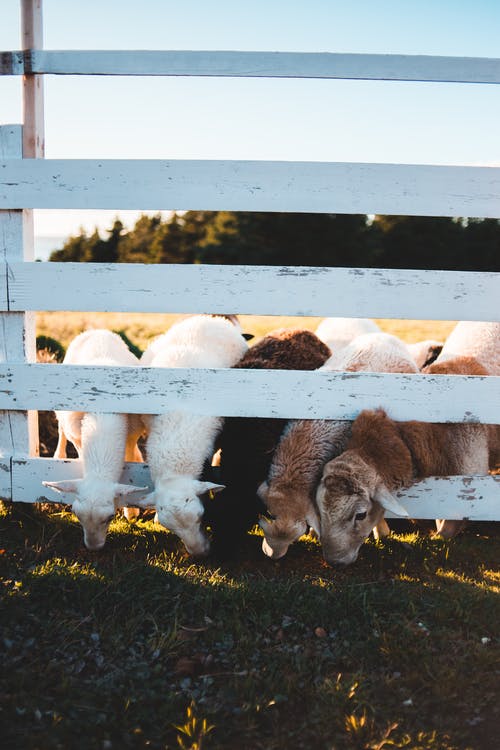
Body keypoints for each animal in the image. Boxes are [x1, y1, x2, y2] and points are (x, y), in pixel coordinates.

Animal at [42, 328, 146, 552]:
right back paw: (58, 454)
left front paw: (131, 512)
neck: (102, 415)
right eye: (76, 515)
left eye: (110, 517)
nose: (93, 547)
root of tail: (96, 330)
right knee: (61, 429)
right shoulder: (78, 437)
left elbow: (130, 455)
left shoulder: (131, 435)